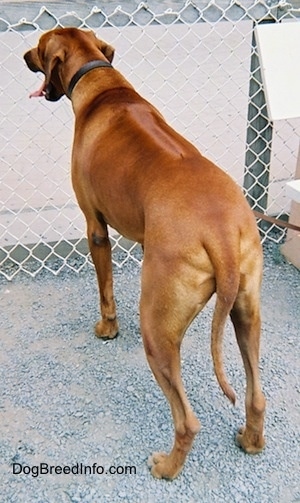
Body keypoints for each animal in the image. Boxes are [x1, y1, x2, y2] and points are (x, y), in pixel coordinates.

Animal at [24, 27, 266, 480]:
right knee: (257, 395)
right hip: (247, 308)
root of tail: (222, 235)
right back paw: (250, 441)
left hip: (159, 328)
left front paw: (108, 328)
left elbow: (105, 288)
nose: (23, 55)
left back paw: (167, 467)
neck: (103, 84)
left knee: (187, 420)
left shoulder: (95, 227)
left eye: (41, 46)